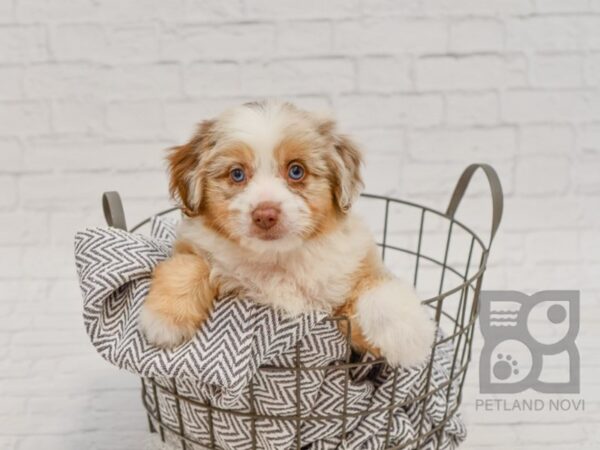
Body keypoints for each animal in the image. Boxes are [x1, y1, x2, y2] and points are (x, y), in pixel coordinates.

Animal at [139, 102, 434, 370]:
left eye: (296, 171)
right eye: (237, 174)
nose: (265, 214)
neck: (279, 258)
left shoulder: (351, 272)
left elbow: (377, 289)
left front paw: (407, 334)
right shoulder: (193, 244)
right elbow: (187, 265)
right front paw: (164, 320)